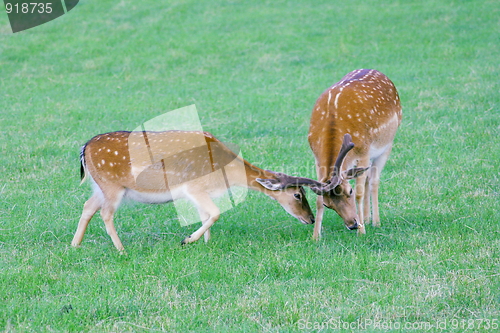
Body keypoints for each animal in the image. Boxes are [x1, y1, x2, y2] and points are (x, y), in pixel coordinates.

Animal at [71, 129, 320, 249]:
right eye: (298, 194)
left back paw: (75, 245)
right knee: (105, 213)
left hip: (100, 186)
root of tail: (84, 148)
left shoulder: (201, 192)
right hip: (112, 185)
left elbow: (206, 214)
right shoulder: (194, 187)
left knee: (88, 205)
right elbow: (216, 213)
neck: (226, 173)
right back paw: (121, 249)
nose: (310, 219)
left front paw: (206, 243)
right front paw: (187, 240)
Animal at [308, 68, 402, 237]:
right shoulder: (317, 158)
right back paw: (367, 218)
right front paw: (316, 236)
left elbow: (360, 192)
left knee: (374, 180)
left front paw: (362, 232)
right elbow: (317, 199)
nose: (352, 224)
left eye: (349, 191)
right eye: (327, 204)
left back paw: (375, 222)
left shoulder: (364, 151)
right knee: (367, 178)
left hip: (387, 144)